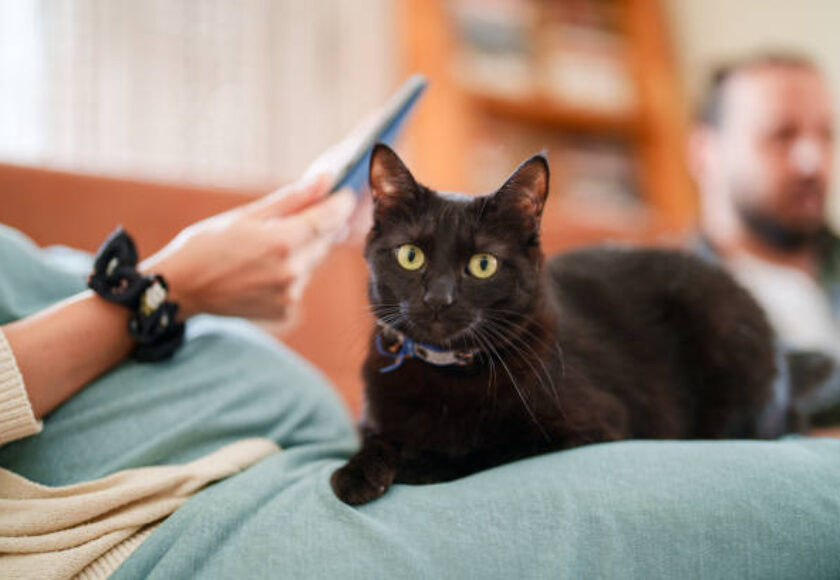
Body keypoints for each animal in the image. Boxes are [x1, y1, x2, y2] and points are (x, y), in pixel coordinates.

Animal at [332, 144, 776, 502]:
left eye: (483, 264)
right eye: (410, 256)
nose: (439, 299)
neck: (444, 374)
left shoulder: (591, 424)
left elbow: (489, 447)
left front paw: (419, 463)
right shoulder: (374, 418)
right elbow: (377, 437)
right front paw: (356, 471)